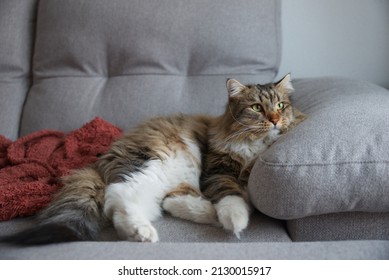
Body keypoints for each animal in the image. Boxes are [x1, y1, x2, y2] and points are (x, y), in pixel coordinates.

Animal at [1, 73, 304, 244]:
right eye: (256, 108)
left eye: (280, 106)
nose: (275, 120)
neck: (255, 149)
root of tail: (98, 161)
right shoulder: (217, 171)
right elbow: (232, 198)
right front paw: (236, 221)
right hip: (157, 164)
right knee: (118, 197)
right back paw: (144, 233)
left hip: (173, 177)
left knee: (162, 203)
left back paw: (201, 215)